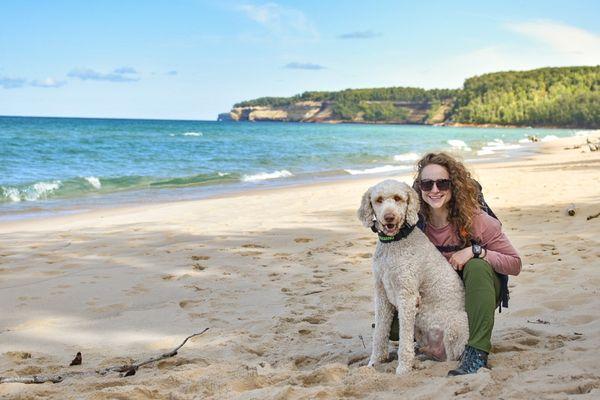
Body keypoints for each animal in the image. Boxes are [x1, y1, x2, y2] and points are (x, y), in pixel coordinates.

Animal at [356, 180, 468, 374]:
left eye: (398, 198)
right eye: (378, 200)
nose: (389, 217)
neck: (394, 243)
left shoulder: (407, 296)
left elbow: (404, 340)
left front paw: (403, 369)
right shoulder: (381, 293)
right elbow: (379, 332)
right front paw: (374, 363)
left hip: (456, 325)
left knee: (451, 358)